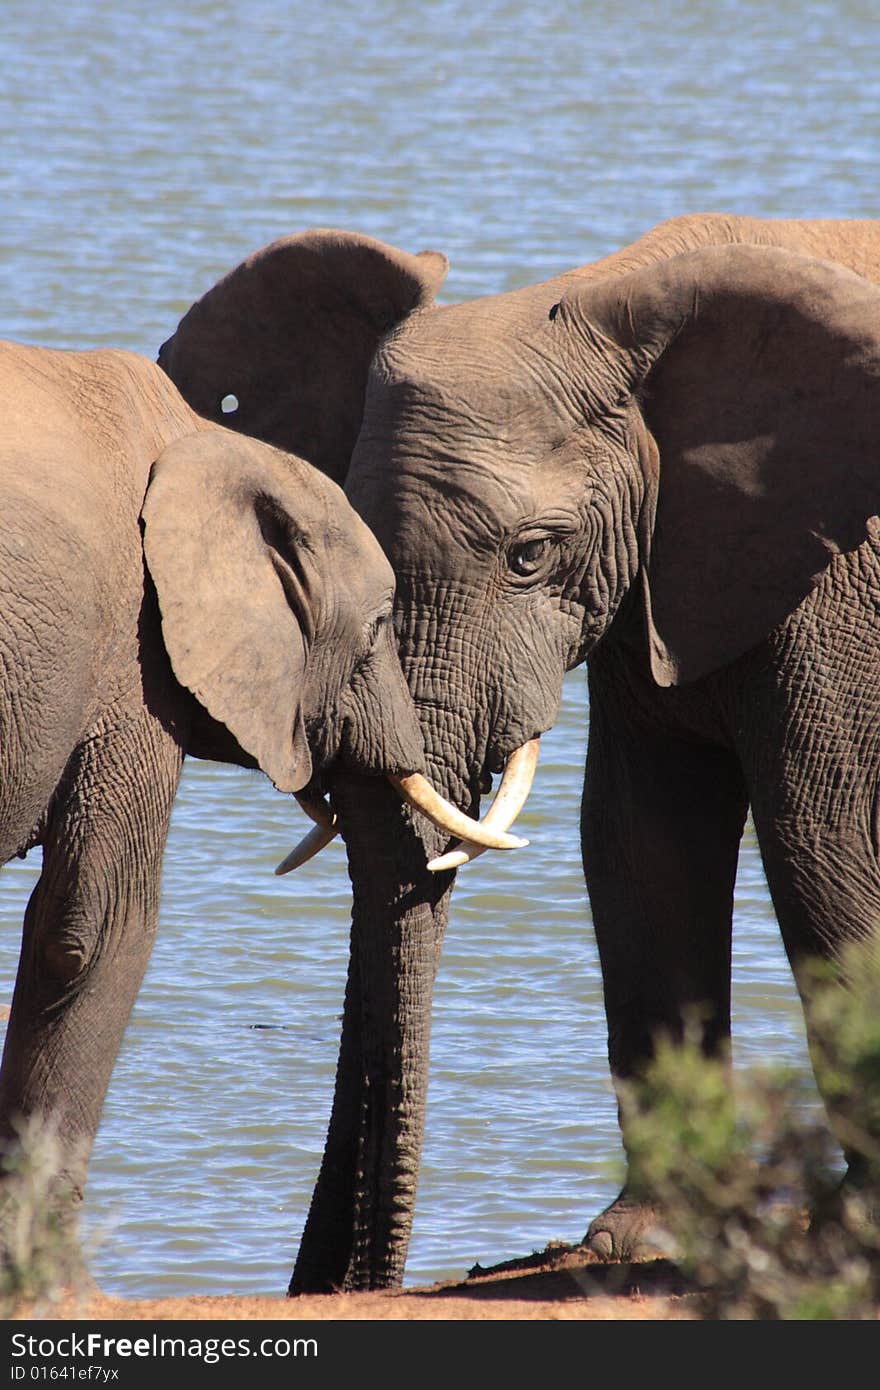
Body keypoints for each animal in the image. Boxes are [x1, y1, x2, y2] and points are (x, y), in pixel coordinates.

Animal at [156, 214, 878, 1289]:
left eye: (531, 555)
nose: (340, 1281)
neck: (618, 290)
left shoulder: (832, 588)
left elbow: (821, 839)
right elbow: (639, 847)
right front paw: (638, 1238)